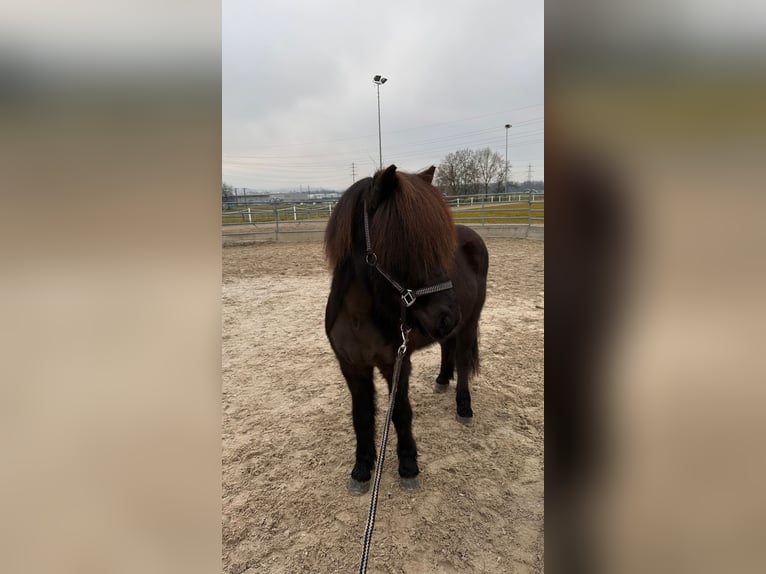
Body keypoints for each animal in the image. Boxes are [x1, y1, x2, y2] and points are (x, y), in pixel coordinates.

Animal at [324, 164, 489, 494]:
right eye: (402, 244)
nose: (448, 315)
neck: (360, 316)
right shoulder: (351, 366)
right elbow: (361, 416)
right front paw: (361, 469)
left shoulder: (396, 363)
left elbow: (400, 413)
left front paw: (408, 466)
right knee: (447, 347)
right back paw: (441, 380)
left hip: (469, 323)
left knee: (463, 361)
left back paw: (463, 407)